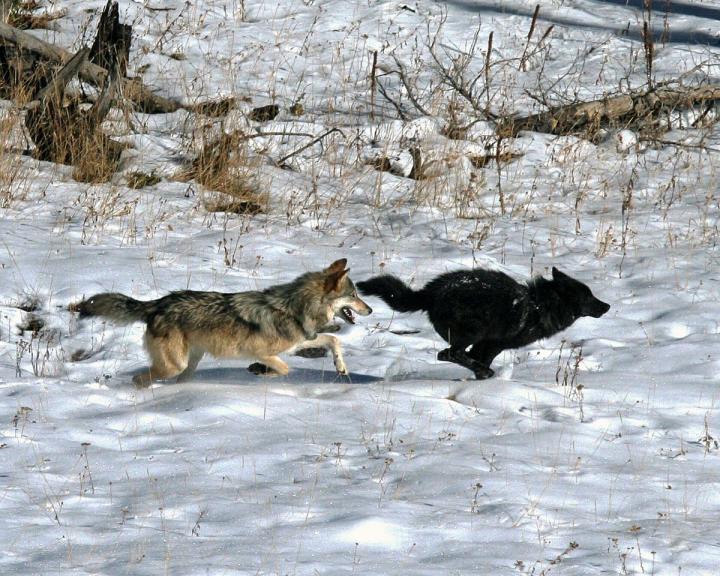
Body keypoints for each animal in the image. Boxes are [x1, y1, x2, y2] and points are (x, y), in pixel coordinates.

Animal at [76, 259, 372, 386]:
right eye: (354, 295)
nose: (369, 309)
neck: (295, 308)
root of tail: (158, 303)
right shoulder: (260, 351)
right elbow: (285, 369)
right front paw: (259, 371)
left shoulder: (299, 342)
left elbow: (333, 339)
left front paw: (341, 367)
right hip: (174, 365)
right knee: (139, 379)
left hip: (187, 365)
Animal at [357, 267, 609, 379]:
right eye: (589, 296)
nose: (607, 306)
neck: (541, 305)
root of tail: (431, 292)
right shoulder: (493, 344)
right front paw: (484, 375)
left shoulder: (485, 346)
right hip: (473, 333)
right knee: (447, 354)